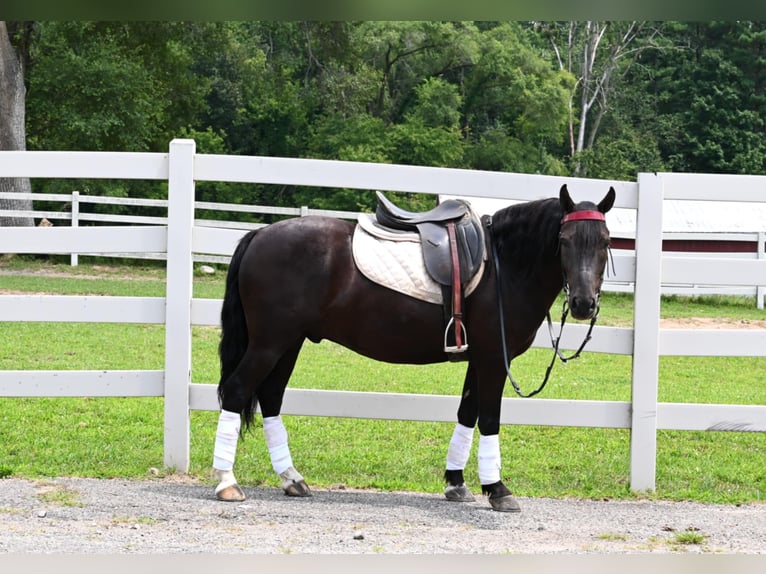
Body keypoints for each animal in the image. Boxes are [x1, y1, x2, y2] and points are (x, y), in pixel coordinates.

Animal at [211, 184, 616, 512]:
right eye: (564, 241)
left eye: (605, 242)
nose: (583, 304)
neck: (504, 265)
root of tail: (259, 235)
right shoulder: (493, 360)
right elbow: (489, 418)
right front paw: (498, 489)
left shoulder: (477, 358)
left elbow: (467, 413)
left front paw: (456, 484)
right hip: (269, 342)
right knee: (237, 390)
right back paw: (227, 483)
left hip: (288, 343)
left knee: (271, 398)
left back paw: (291, 478)